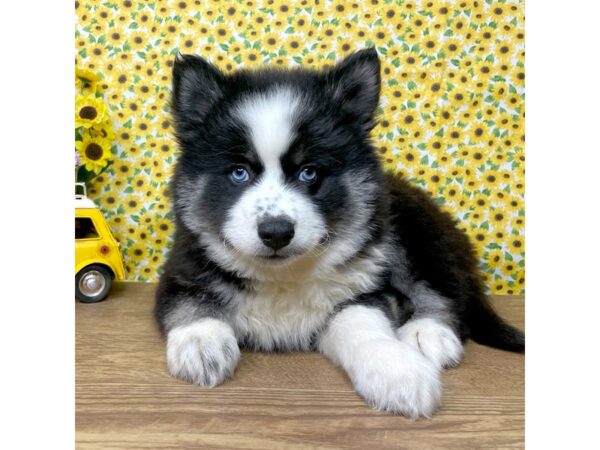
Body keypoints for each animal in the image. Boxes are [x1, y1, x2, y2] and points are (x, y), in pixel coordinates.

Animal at [155, 48, 524, 418]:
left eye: (309, 172)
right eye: (239, 172)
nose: (276, 232)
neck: (282, 277)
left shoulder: (364, 291)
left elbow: (363, 325)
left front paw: (399, 372)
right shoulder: (181, 270)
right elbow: (191, 304)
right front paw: (202, 343)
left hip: (418, 233)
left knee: (442, 288)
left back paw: (427, 332)